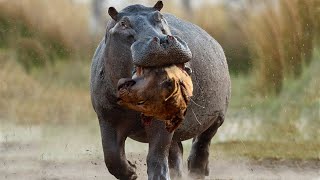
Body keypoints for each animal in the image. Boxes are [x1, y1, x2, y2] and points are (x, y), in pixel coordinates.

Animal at [90, 1, 230, 179]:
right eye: (123, 23)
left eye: (160, 17)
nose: (163, 40)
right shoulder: (107, 118)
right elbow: (112, 157)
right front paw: (132, 172)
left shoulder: (162, 121)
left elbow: (156, 156)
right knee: (176, 151)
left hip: (218, 116)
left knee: (203, 142)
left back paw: (197, 171)